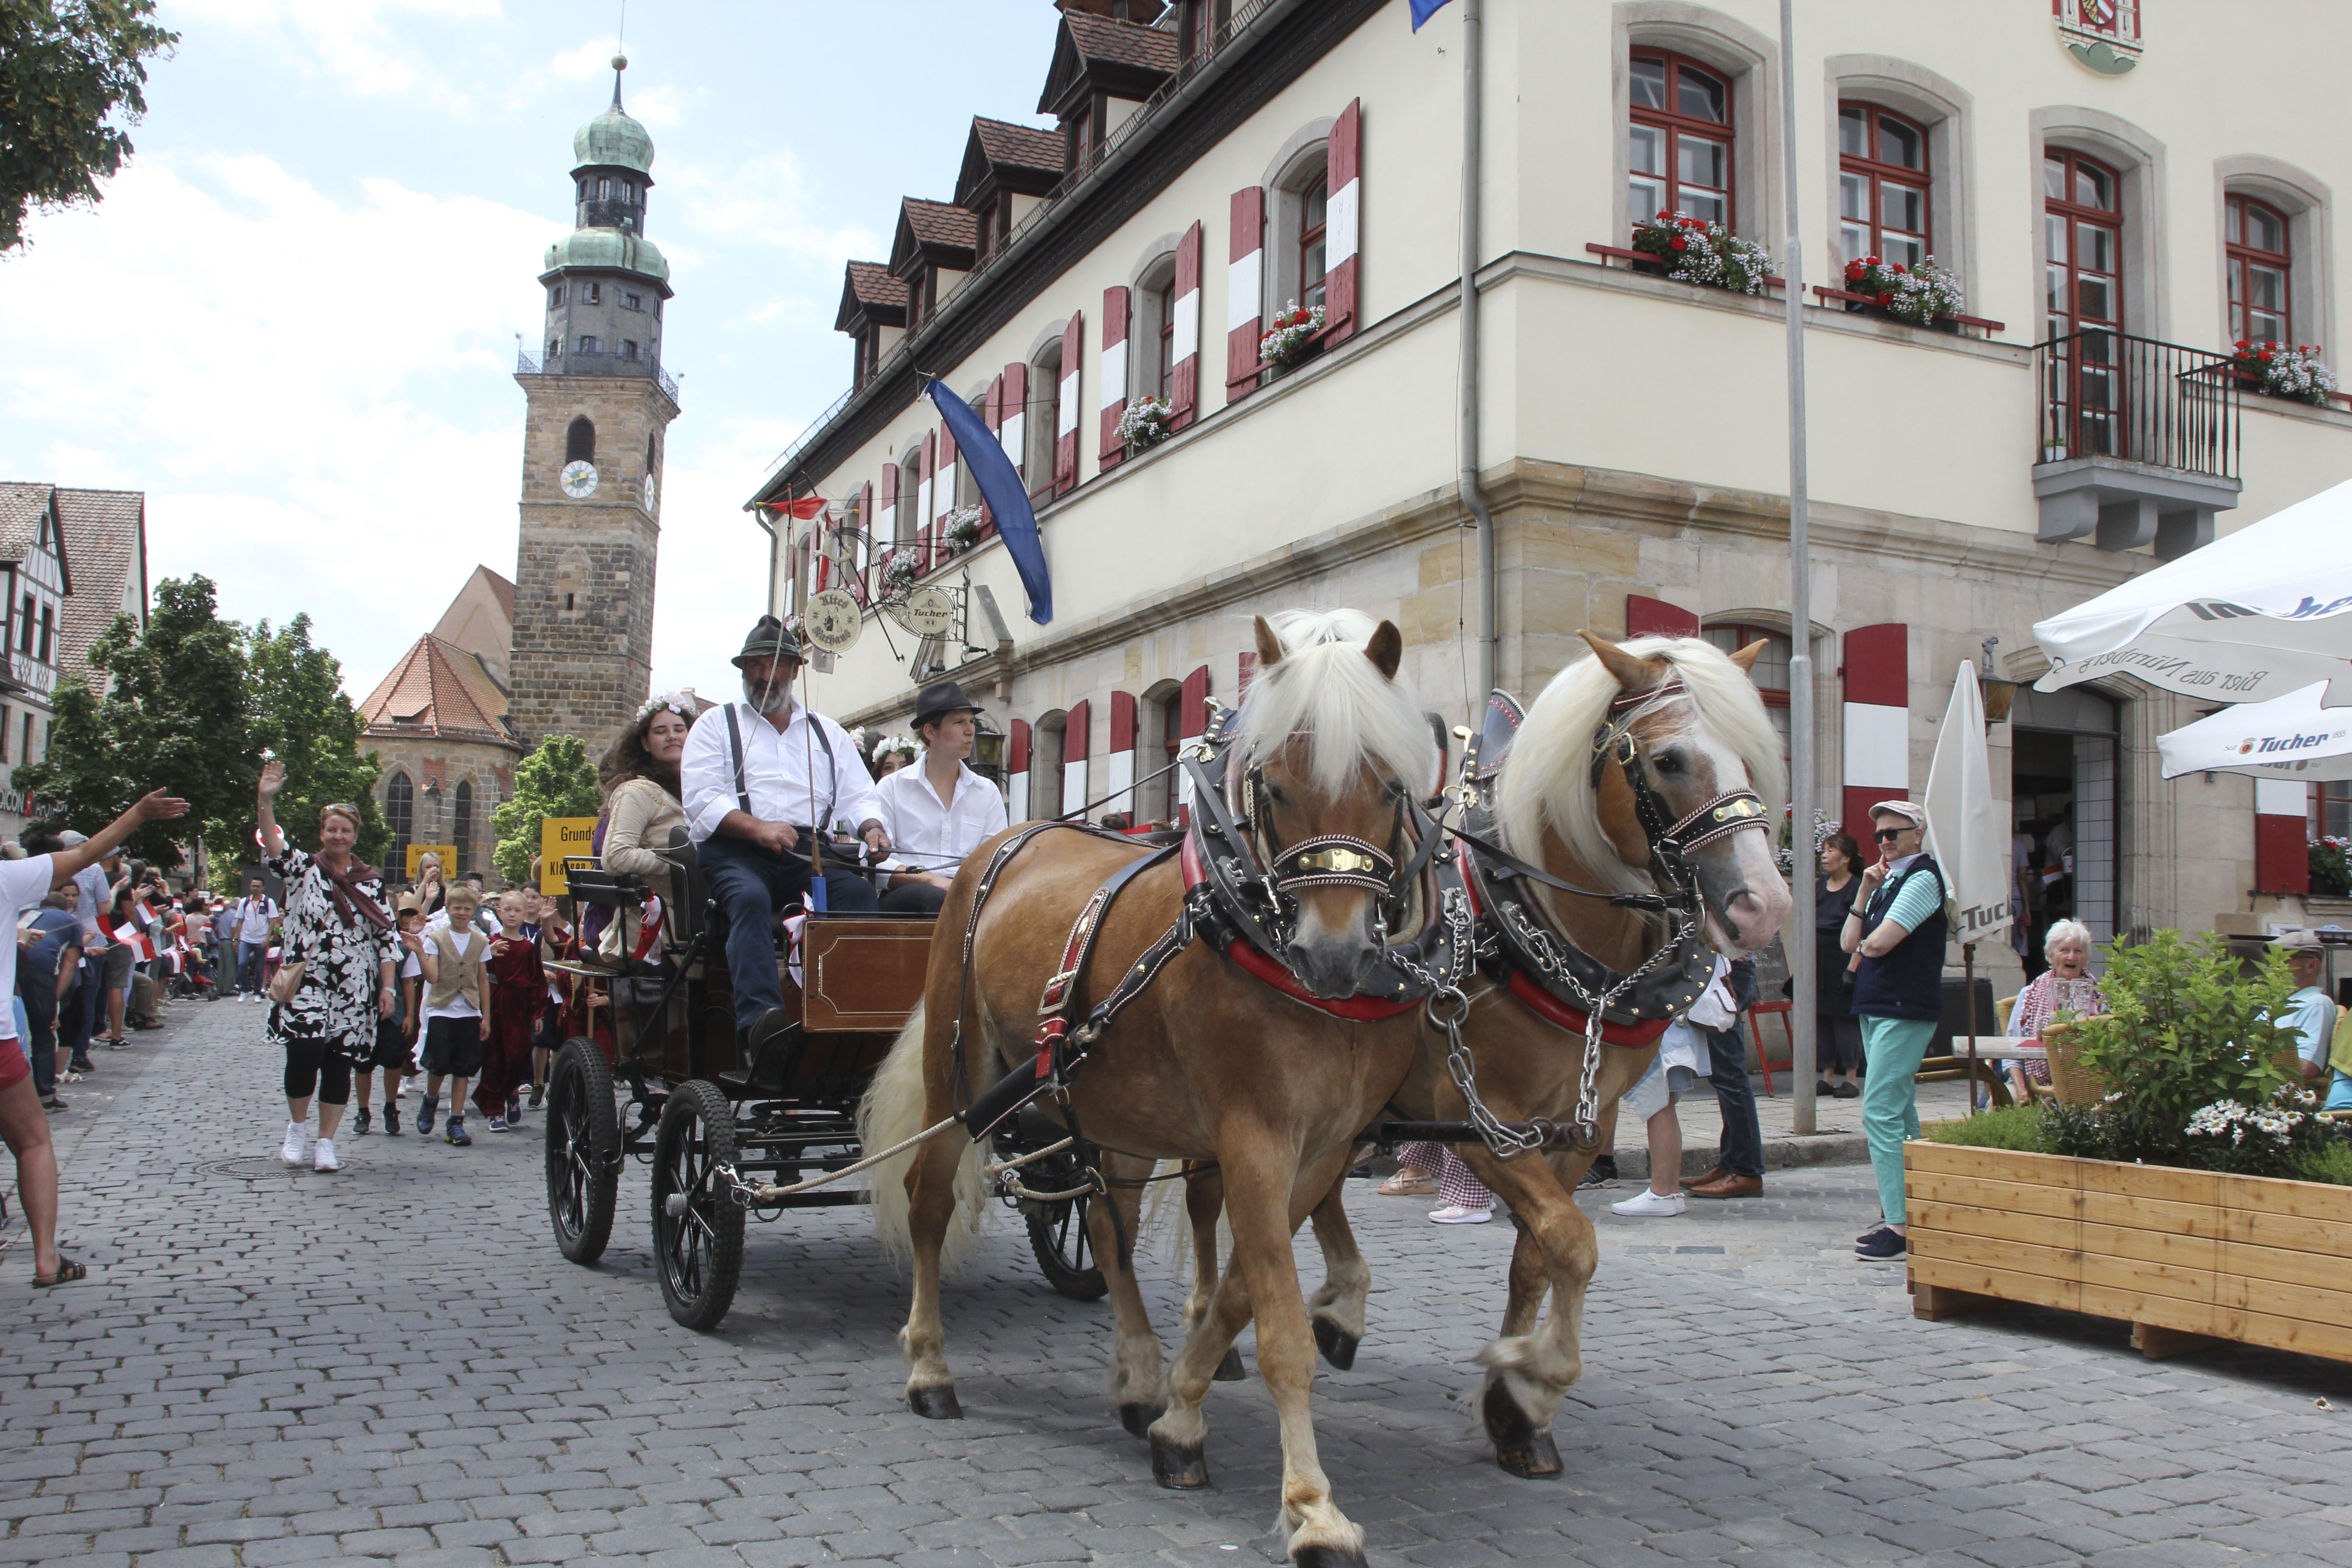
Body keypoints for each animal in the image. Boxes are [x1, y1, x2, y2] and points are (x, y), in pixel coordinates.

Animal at [856, 606, 1458, 1561]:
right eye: (1272, 785)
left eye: (1391, 785)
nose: (1333, 953)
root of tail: (1005, 840)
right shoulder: (1252, 1136)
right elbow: (1279, 1323)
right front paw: (1312, 1506)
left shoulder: (1322, 1151)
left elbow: (1245, 1293)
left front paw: (1181, 1410)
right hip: (962, 1074)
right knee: (927, 1202)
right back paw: (929, 1365)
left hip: (1110, 1107)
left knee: (1107, 1225)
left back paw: (1137, 1376)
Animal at [1166, 625, 1787, 1476]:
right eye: (1667, 761)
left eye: (1754, 754)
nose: (1764, 906)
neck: (1535, 928)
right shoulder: (1484, 1127)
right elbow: (1573, 1240)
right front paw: (1531, 1377)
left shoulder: (1578, 1130)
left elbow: (1541, 1252)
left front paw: (1514, 1408)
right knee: (1209, 1198)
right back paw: (1218, 1324)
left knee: (1316, 1194)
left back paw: (1340, 1306)